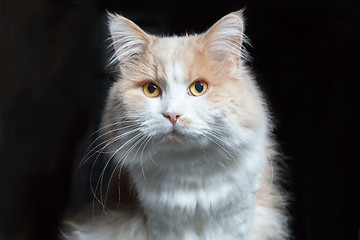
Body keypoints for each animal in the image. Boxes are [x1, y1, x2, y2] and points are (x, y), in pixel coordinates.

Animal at [62, 9, 290, 240]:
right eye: (151, 89)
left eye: (199, 88)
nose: (172, 115)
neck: (190, 169)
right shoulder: (163, 226)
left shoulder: (237, 221)